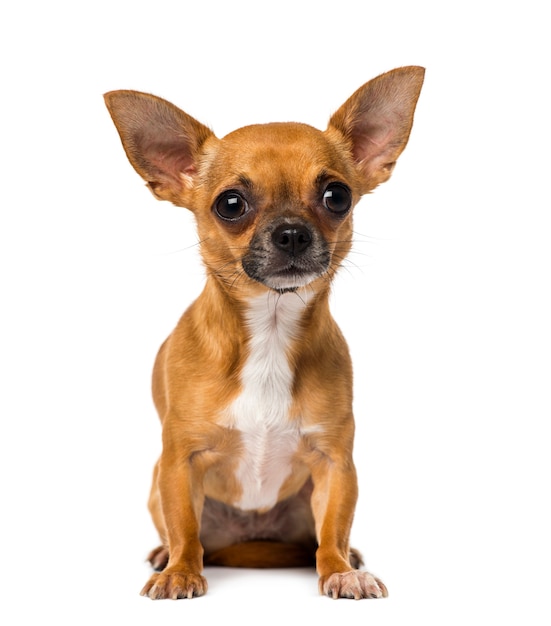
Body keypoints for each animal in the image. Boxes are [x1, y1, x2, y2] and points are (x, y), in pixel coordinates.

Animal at [105, 66, 426, 596]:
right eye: (230, 204)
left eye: (337, 196)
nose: (292, 232)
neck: (271, 333)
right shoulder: (179, 462)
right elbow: (183, 524)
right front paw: (181, 571)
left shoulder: (335, 463)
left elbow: (334, 527)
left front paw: (340, 571)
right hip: (157, 483)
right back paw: (166, 555)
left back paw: (350, 558)